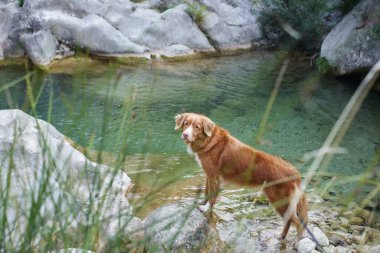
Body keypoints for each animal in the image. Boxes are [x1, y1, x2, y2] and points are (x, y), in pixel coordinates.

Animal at [175, 112, 308, 239]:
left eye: (197, 127)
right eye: (186, 123)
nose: (185, 135)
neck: (209, 141)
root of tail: (294, 172)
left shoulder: (214, 177)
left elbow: (212, 197)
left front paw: (206, 208)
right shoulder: (209, 175)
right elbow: (206, 193)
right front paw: (202, 204)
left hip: (279, 200)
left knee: (297, 223)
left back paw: (297, 241)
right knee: (289, 221)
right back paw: (282, 236)